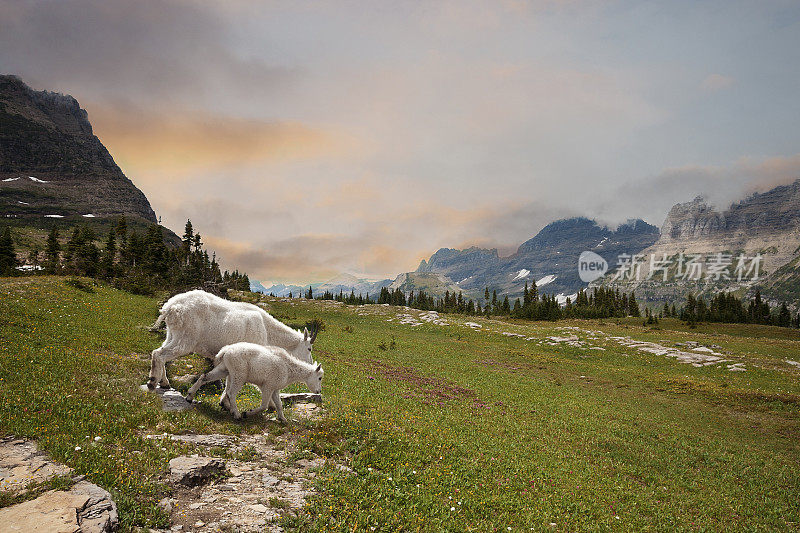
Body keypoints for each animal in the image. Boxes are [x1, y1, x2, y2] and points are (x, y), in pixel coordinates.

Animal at [147, 288, 316, 388]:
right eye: (309, 348)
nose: (309, 362)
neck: (267, 329)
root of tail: (170, 307)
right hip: (186, 338)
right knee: (160, 354)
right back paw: (154, 381)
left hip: (172, 334)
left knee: (159, 351)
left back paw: (164, 383)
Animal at [186, 342, 324, 422]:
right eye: (320, 378)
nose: (318, 391)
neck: (289, 369)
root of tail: (225, 351)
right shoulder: (267, 386)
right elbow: (264, 406)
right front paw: (247, 413)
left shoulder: (275, 388)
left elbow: (279, 404)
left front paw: (283, 419)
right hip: (239, 374)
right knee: (231, 393)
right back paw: (237, 414)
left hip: (224, 369)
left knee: (204, 377)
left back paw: (189, 396)